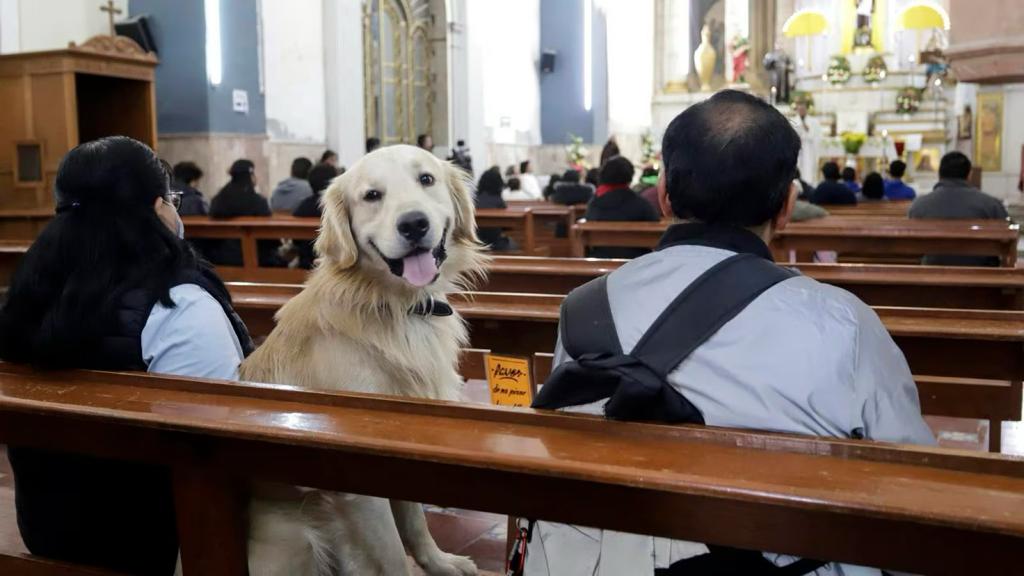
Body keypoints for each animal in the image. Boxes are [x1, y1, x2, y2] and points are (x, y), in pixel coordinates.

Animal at [239, 145, 488, 575]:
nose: (414, 224)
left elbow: (416, 524)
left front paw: (440, 563)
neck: (398, 306)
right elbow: (392, 556)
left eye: (426, 179)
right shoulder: (358, 484)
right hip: (295, 541)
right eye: (372, 196)